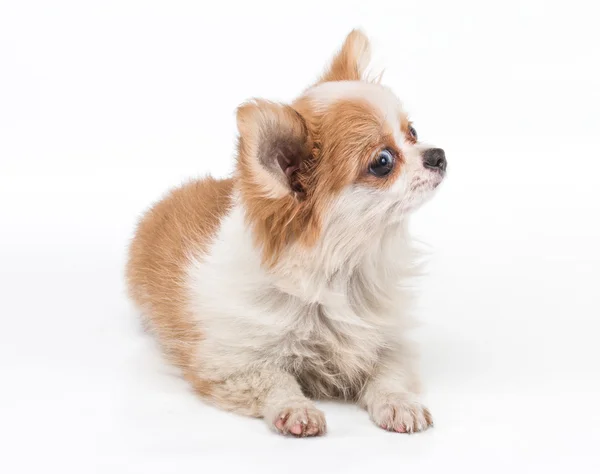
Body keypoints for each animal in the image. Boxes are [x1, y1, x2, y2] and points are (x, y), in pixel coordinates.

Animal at [126, 30, 446, 436]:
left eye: (413, 132)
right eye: (383, 162)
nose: (438, 155)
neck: (343, 273)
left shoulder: (390, 341)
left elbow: (388, 373)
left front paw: (399, 403)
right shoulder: (231, 362)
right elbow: (276, 379)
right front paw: (296, 409)